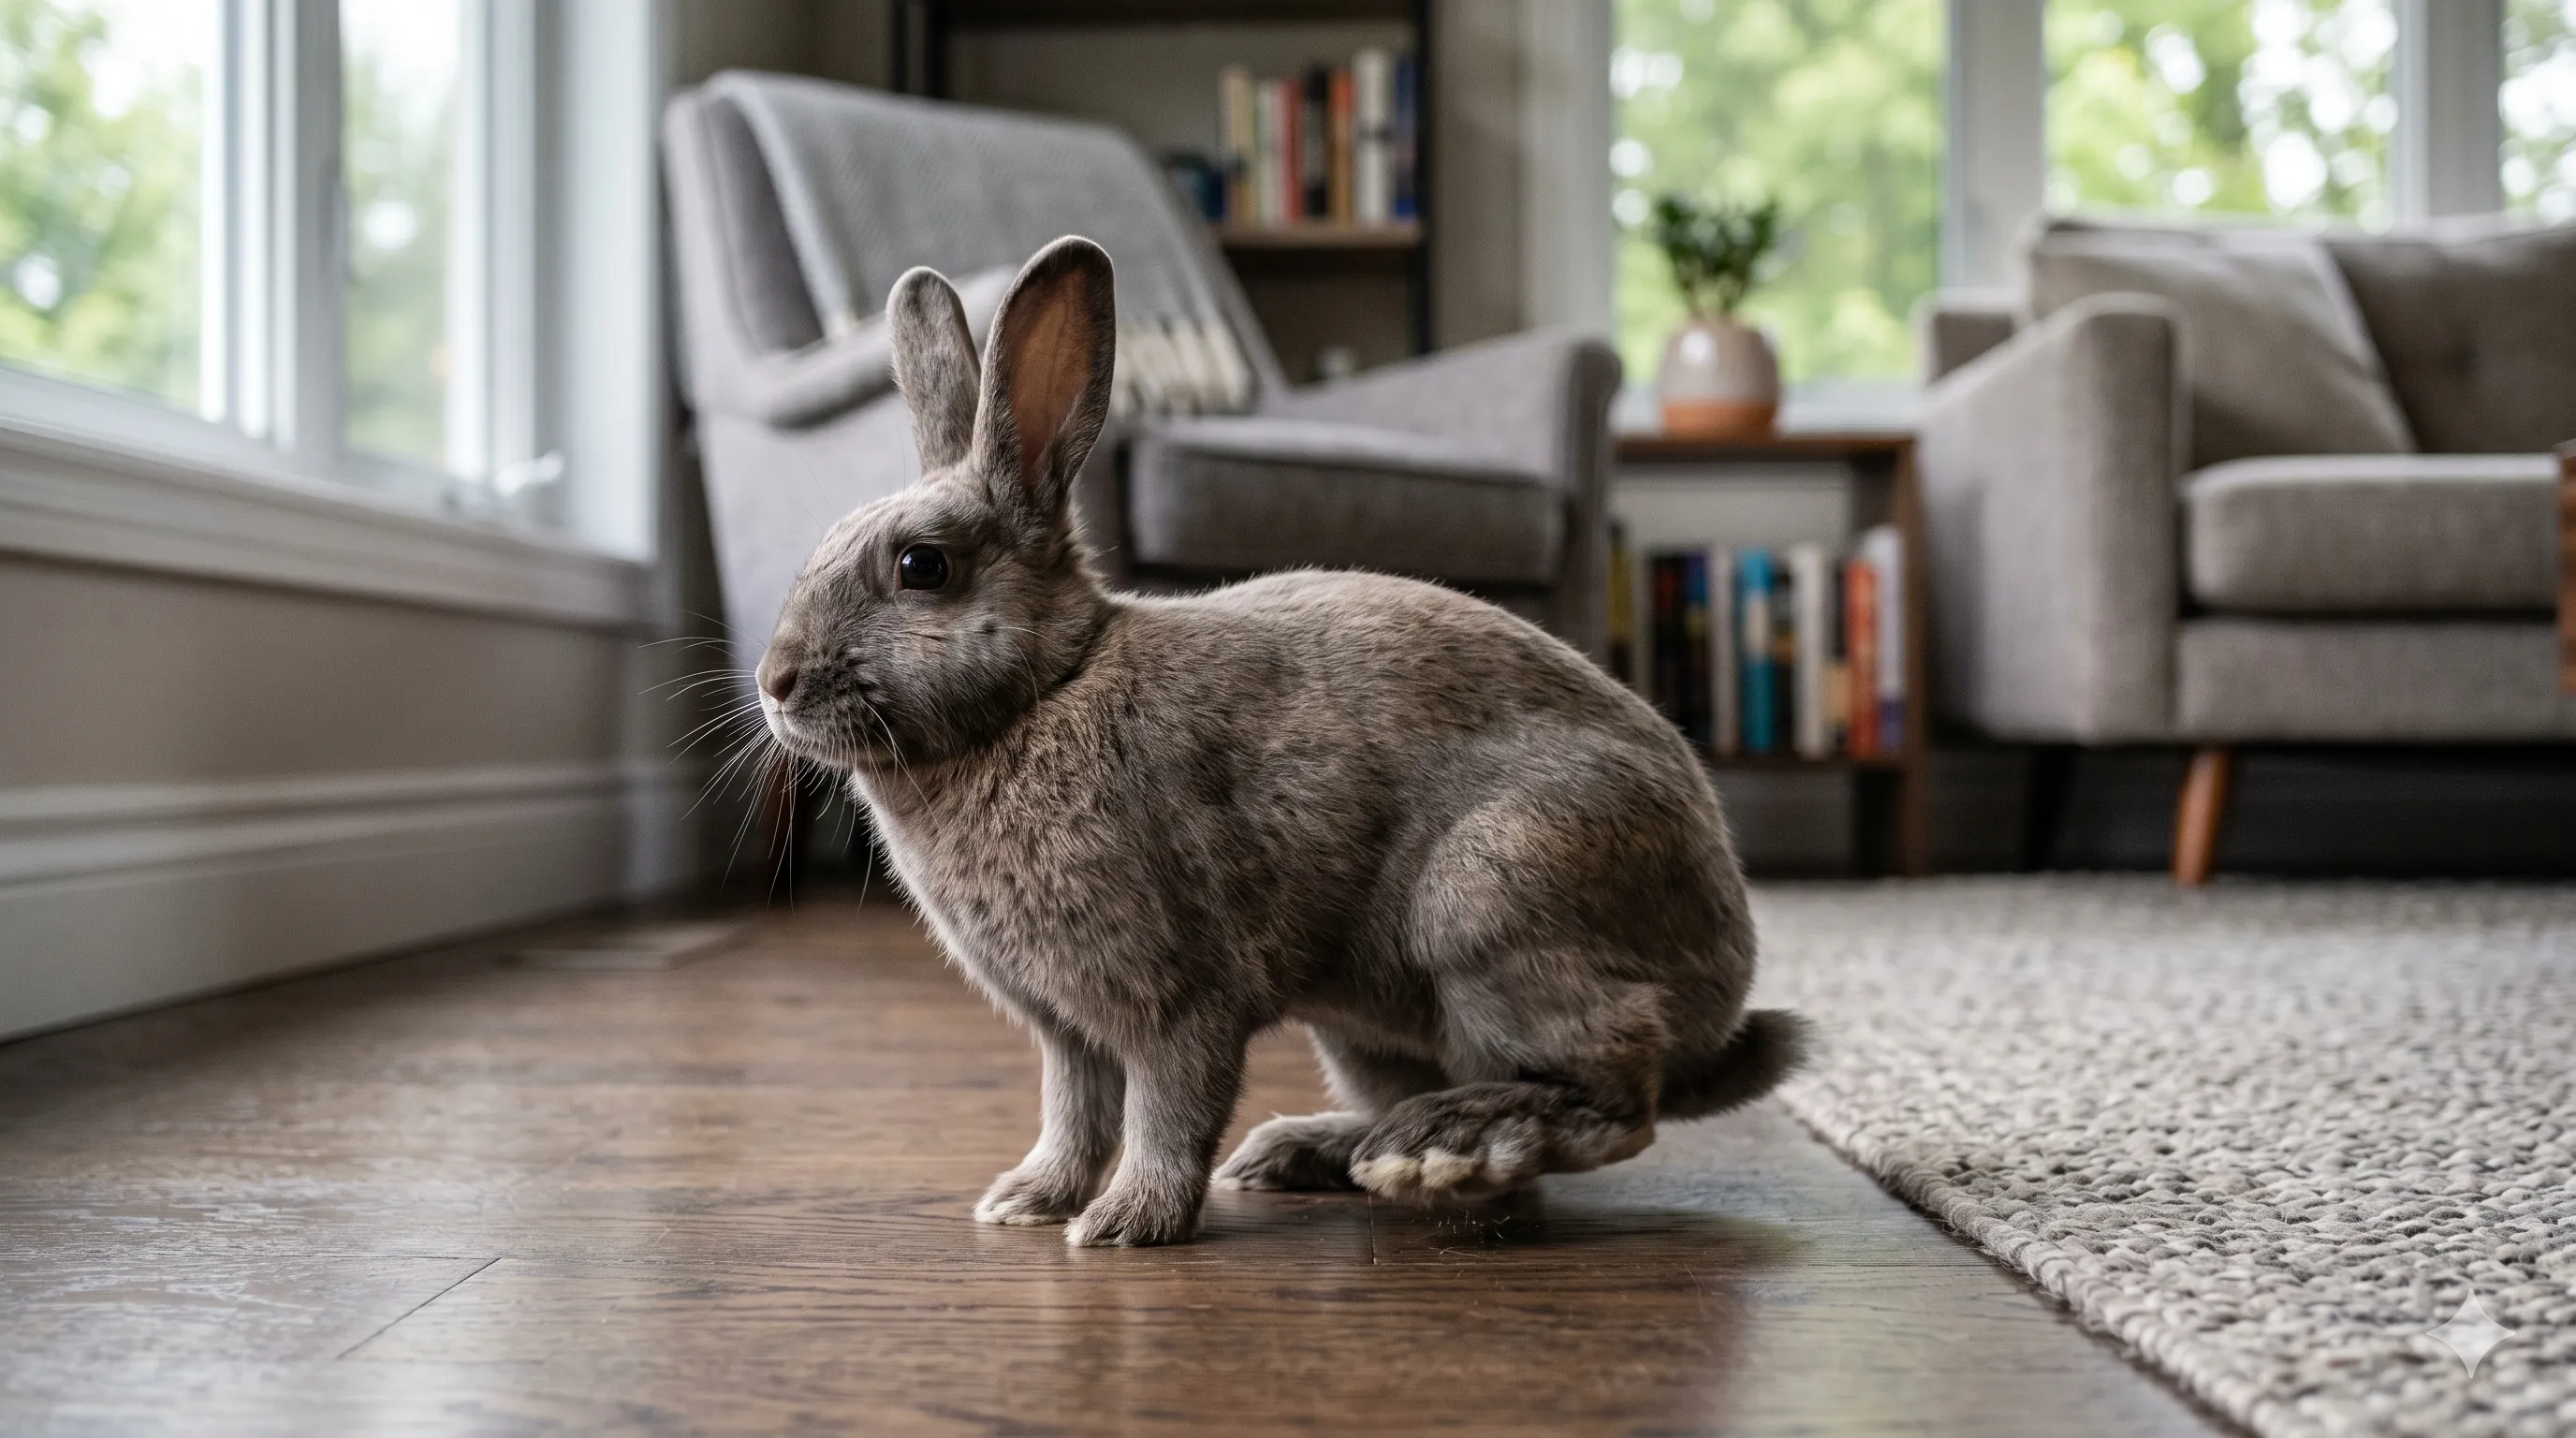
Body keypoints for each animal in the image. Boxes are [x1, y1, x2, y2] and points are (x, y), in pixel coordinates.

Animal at [754, 235, 1807, 1248]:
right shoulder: (1067, 1030)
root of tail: (1719, 1007)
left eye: (921, 566)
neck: (1045, 690)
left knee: (1621, 1103)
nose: (774, 683)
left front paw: (1127, 1223)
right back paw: (1320, 1150)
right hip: (1366, 1023)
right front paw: (1026, 1200)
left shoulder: (1178, 994)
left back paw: (1448, 1152)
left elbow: (1166, 1111)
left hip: (1493, 898)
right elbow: (1073, 1115)